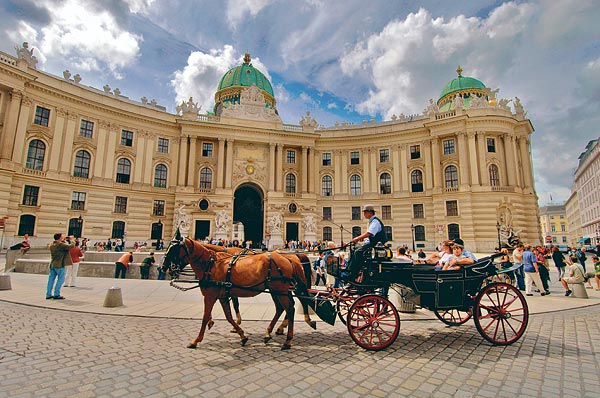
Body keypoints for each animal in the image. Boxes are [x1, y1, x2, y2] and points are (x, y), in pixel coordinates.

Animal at [164, 238, 314, 350]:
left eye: (174, 249)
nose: (164, 267)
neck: (212, 265)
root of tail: (289, 258)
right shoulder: (222, 296)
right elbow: (228, 315)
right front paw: (242, 335)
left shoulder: (211, 296)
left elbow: (206, 317)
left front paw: (196, 340)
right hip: (276, 289)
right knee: (283, 307)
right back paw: (271, 332)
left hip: (280, 289)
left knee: (291, 307)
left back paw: (288, 339)